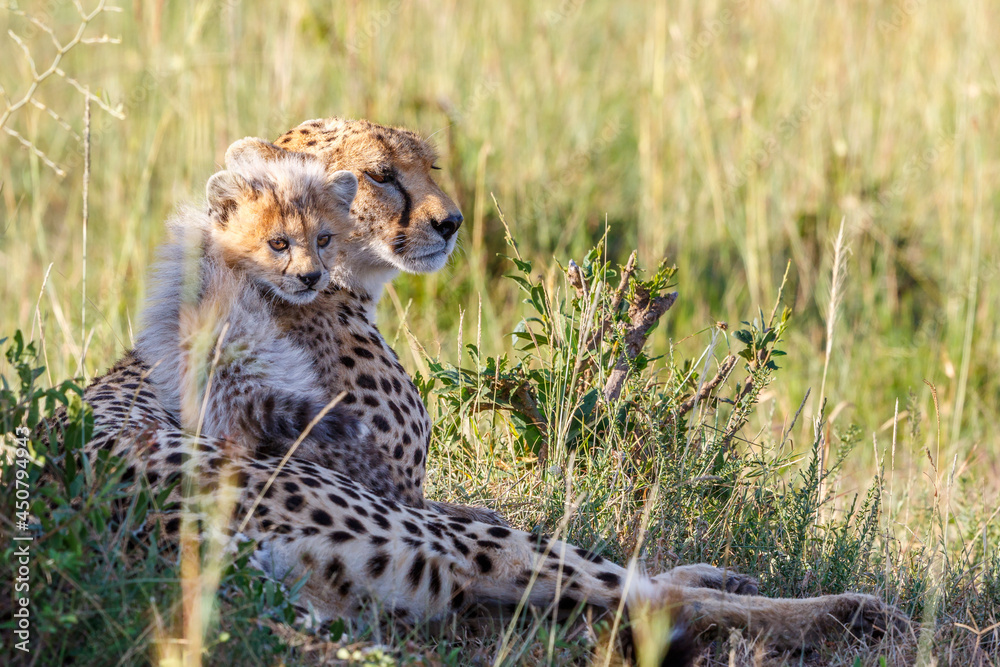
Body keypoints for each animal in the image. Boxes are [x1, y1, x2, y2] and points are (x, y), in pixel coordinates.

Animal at [44, 117, 906, 664]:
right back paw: (847, 610)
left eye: (430, 162)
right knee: (640, 597)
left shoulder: (414, 500)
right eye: (381, 177)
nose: (452, 221)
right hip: (431, 547)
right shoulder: (402, 495)